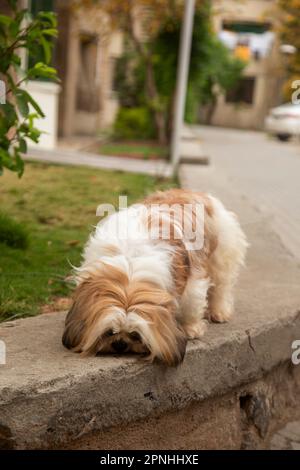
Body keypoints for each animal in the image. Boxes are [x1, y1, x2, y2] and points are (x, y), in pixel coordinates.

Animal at [62, 189, 247, 366]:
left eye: (135, 335)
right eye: (110, 332)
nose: (120, 344)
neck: (129, 268)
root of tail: (196, 193)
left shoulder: (192, 280)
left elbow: (191, 305)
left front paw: (191, 328)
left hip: (222, 254)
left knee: (222, 286)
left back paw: (219, 311)